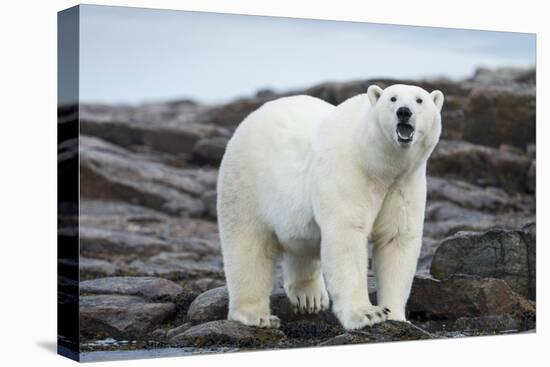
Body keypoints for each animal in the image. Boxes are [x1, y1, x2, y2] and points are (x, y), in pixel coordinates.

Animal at [218, 84, 446, 330]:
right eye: (392, 98)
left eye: (419, 100)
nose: (404, 112)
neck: (376, 162)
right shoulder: (349, 171)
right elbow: (346, 235)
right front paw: (367, 314)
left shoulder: (404, 184)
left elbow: (396, 239)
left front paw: (396, 315)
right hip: (246, 183)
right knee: (248, 246)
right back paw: (256, 315)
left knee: (301, 245)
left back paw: (310, 298)